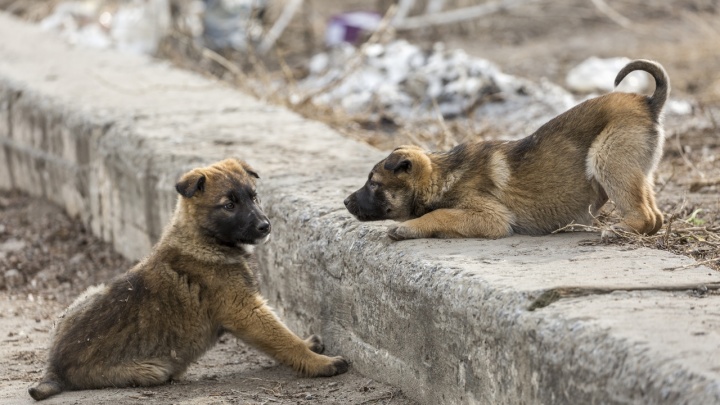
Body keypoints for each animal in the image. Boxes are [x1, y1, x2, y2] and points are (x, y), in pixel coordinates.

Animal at [29, 156, 350, 400]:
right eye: (229, 205)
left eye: (254, 196)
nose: (265, 226)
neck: (202, 238)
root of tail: (54, 369)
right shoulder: (244, 310)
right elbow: (282, 339)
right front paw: (319, 363)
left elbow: (284, 332)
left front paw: (309, 344)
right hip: (153, 369)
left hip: (89, 293)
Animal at [344, 58, 668, 238]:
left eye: (374, 184)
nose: (345, 202)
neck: (443, 177)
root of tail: (647, 102)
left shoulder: (490, 216)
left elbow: (439, 215)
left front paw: (407, 228)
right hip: (637, 168)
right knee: (656, 215)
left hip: (608, 156)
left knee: (646, 215)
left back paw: (617, 231)